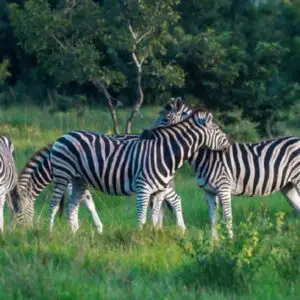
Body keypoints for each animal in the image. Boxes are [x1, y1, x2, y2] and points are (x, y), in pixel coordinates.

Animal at [47, 109, 230, 232]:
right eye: (217, 129)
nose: (228, 144)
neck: (165, 154)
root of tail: (64, 136)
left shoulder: (159, 190)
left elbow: (155, 217)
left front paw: (154, 236)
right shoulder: (144, 188)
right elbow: (141, 218)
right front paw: (138, 239)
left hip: (79, 179)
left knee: (71, 205)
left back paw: (74, 235)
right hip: (63, 175)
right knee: (53, 204)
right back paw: (50, 234)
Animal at [154, 99, 300, 238]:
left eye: (165, 119)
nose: (149, 134)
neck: (207, 155)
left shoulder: (224, 188)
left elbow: (227, 218)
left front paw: (230, 241)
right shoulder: (209, 192)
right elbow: (212, 219)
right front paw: (214, 243)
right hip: (288, 186)